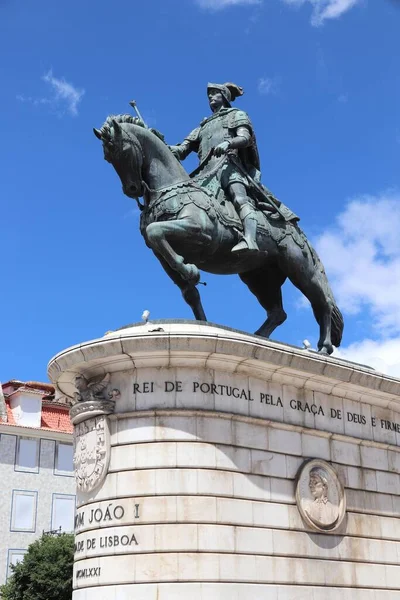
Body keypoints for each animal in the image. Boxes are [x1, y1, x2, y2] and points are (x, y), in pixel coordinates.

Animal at [94, 115, 344, 354]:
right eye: (108, 158)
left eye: (123, 151)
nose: (132, 189)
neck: (172, 188)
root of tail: (299, 233)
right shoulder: (161, 254)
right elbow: (187, 288)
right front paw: (201, 318)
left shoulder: (200, 232)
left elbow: (155, 231)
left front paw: (192, 271)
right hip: (259, 275)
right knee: (278, 312)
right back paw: (259, 337)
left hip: (299, 269)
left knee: (322, 303)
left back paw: (323, 347)